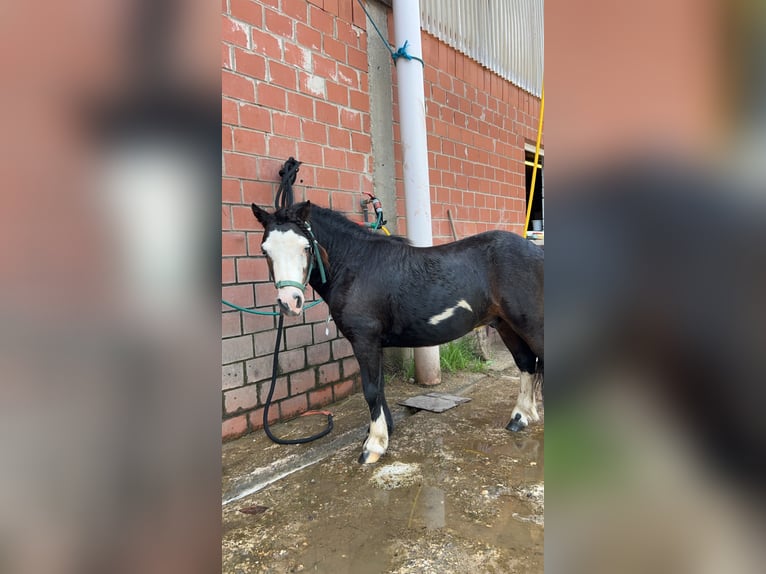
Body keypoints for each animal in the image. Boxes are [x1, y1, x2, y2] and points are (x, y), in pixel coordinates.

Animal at [254, 201, 544, 464]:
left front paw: (372, 447)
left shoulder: (365, 340)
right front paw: (382, 434)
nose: (289, 302)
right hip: (506, 325)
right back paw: (520, 418)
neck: (356, 265)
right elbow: (379, 388)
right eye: (265, 250)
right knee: (526, 364)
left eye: (305, 247)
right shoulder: (372, 343)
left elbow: (371, 389)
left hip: (530, 325)